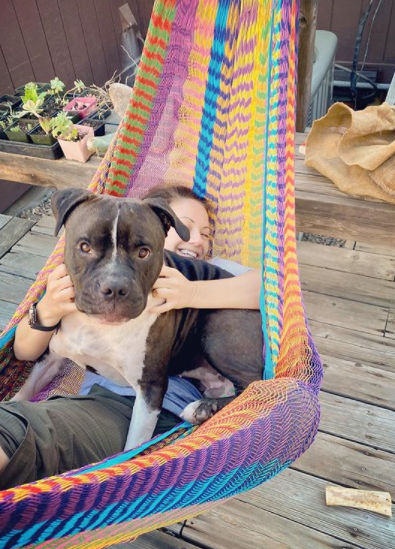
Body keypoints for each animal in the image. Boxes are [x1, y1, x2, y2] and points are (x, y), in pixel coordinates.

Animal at [16, 191, 262, 448]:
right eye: (85, 247)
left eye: (143, 252)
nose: (114, 287)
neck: (99, 327)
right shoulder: (50, 358)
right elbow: (22, 394)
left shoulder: (149, 389)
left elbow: (134, 443)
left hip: (217, 324)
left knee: (254, 386)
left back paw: (202, 408)